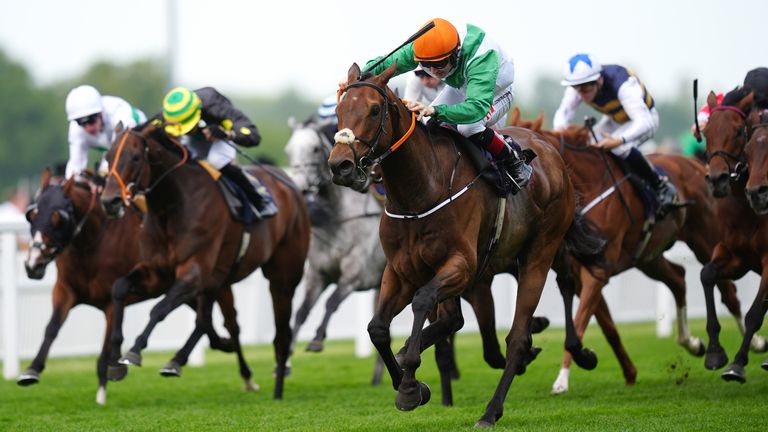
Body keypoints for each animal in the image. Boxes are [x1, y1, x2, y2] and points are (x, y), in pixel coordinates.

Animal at [20, 170, 249, 404]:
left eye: (58, 218)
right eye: (31, 215)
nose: (32, 264)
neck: (93, 244)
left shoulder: (110, 302)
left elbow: (105, 350)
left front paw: (103, 393)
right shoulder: (65, 290)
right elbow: (51, 327)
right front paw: (32, 369)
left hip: (215, 283)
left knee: (231, 324)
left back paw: (247, 377)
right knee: (206, 320)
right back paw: (221, 344)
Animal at [100, 121, 310, 398]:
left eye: (135, 157)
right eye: (108, 157)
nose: (110, 202)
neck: (172, 207)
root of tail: (291, 185)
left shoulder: (193, 270)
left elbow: (159, 309)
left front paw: (133, 352)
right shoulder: (157, 272)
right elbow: (119, 287)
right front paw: (115, 362)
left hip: (283, 276)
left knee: (281, 331)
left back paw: (277, 385)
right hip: (218, 280)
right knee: (211, 321)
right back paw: (180, 360)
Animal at [328, 62, 608, 426]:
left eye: (374, 110)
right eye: (339, 110)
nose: (340, 165)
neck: (420, 191)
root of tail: (551, 153)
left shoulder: (462, 265)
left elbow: (423, 302)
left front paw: (409, 386)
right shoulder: (401, 271)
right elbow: (378, 328)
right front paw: (411, 383)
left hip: (540, 253)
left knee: (521, 334)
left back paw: (492, 410)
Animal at [508, 110, 764, 392]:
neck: (587, 186)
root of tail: (697, 165)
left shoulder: (597, 271)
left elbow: (580, 321)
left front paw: (562, 379)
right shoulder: (581, 275)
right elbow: (606, 326)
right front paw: (626, 371)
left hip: (707, 242)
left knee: (728, 292)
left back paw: (752, 344)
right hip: (648, 257)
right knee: (678, 278)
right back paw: (691, 342)